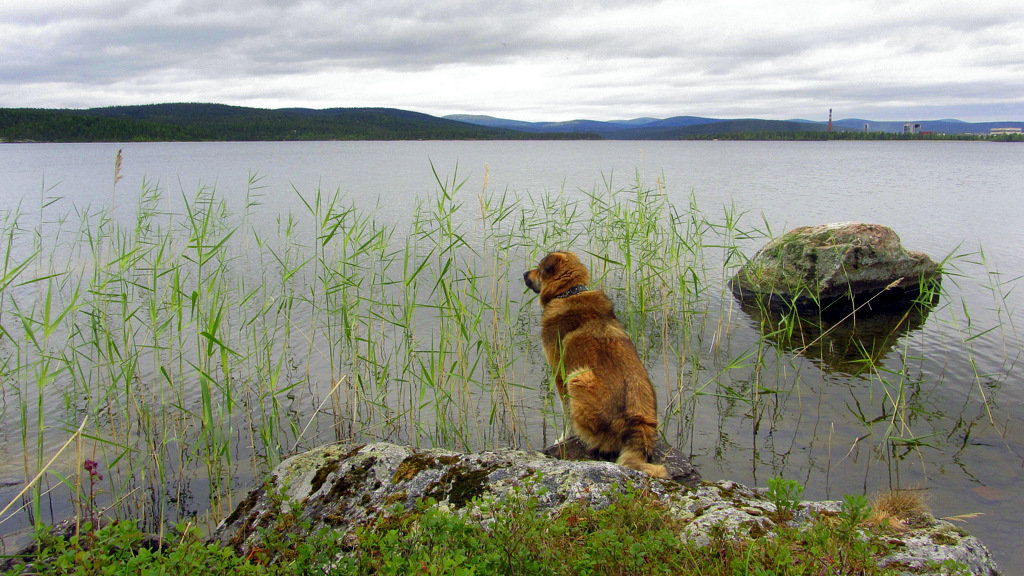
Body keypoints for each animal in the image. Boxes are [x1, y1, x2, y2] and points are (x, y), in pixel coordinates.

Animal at [524, 248, 667, 475]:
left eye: (539, 268)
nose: (524, 274)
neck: (570, 292)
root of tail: (638, 423)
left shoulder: (560, 374)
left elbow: (566, 413)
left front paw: (564, 437)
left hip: (578, 377)